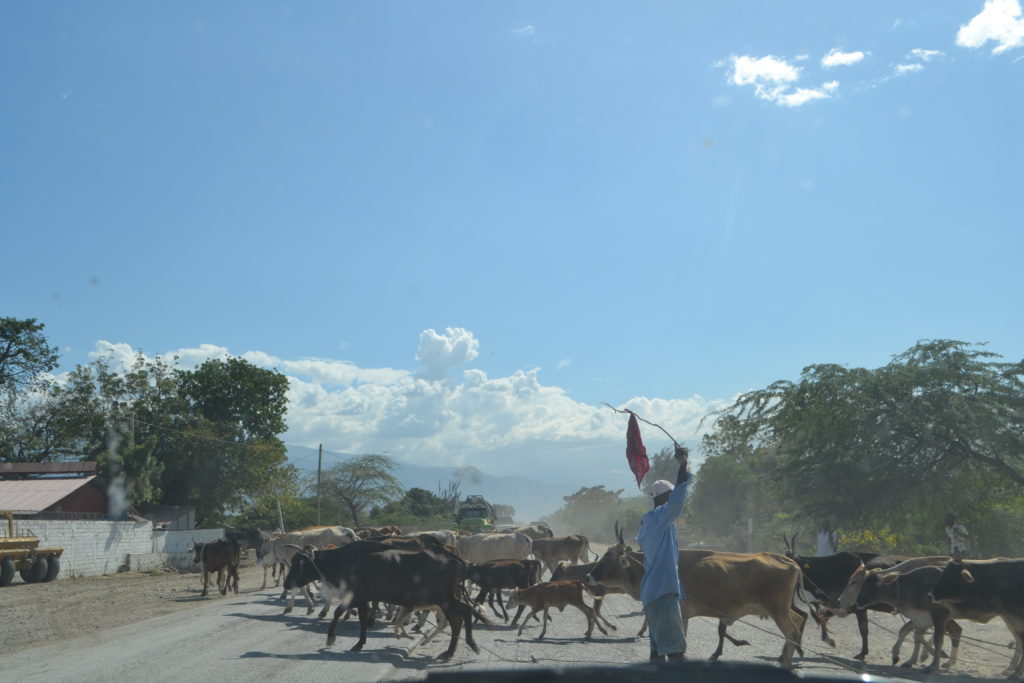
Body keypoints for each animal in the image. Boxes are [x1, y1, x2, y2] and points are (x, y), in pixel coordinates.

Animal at [282, 540, 477, 659]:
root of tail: (456, 559)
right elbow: (356, 616)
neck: (343, 559)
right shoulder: (362, 599)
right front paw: (359, 641)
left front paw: (334, 638)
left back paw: (453, 650)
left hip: (445, 600)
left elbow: (342, 613)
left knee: (459, 618)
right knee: (463, 615)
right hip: (446, 600)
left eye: (298, 564)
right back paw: (462, 646)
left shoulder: (357, 596)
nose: (285, 584)